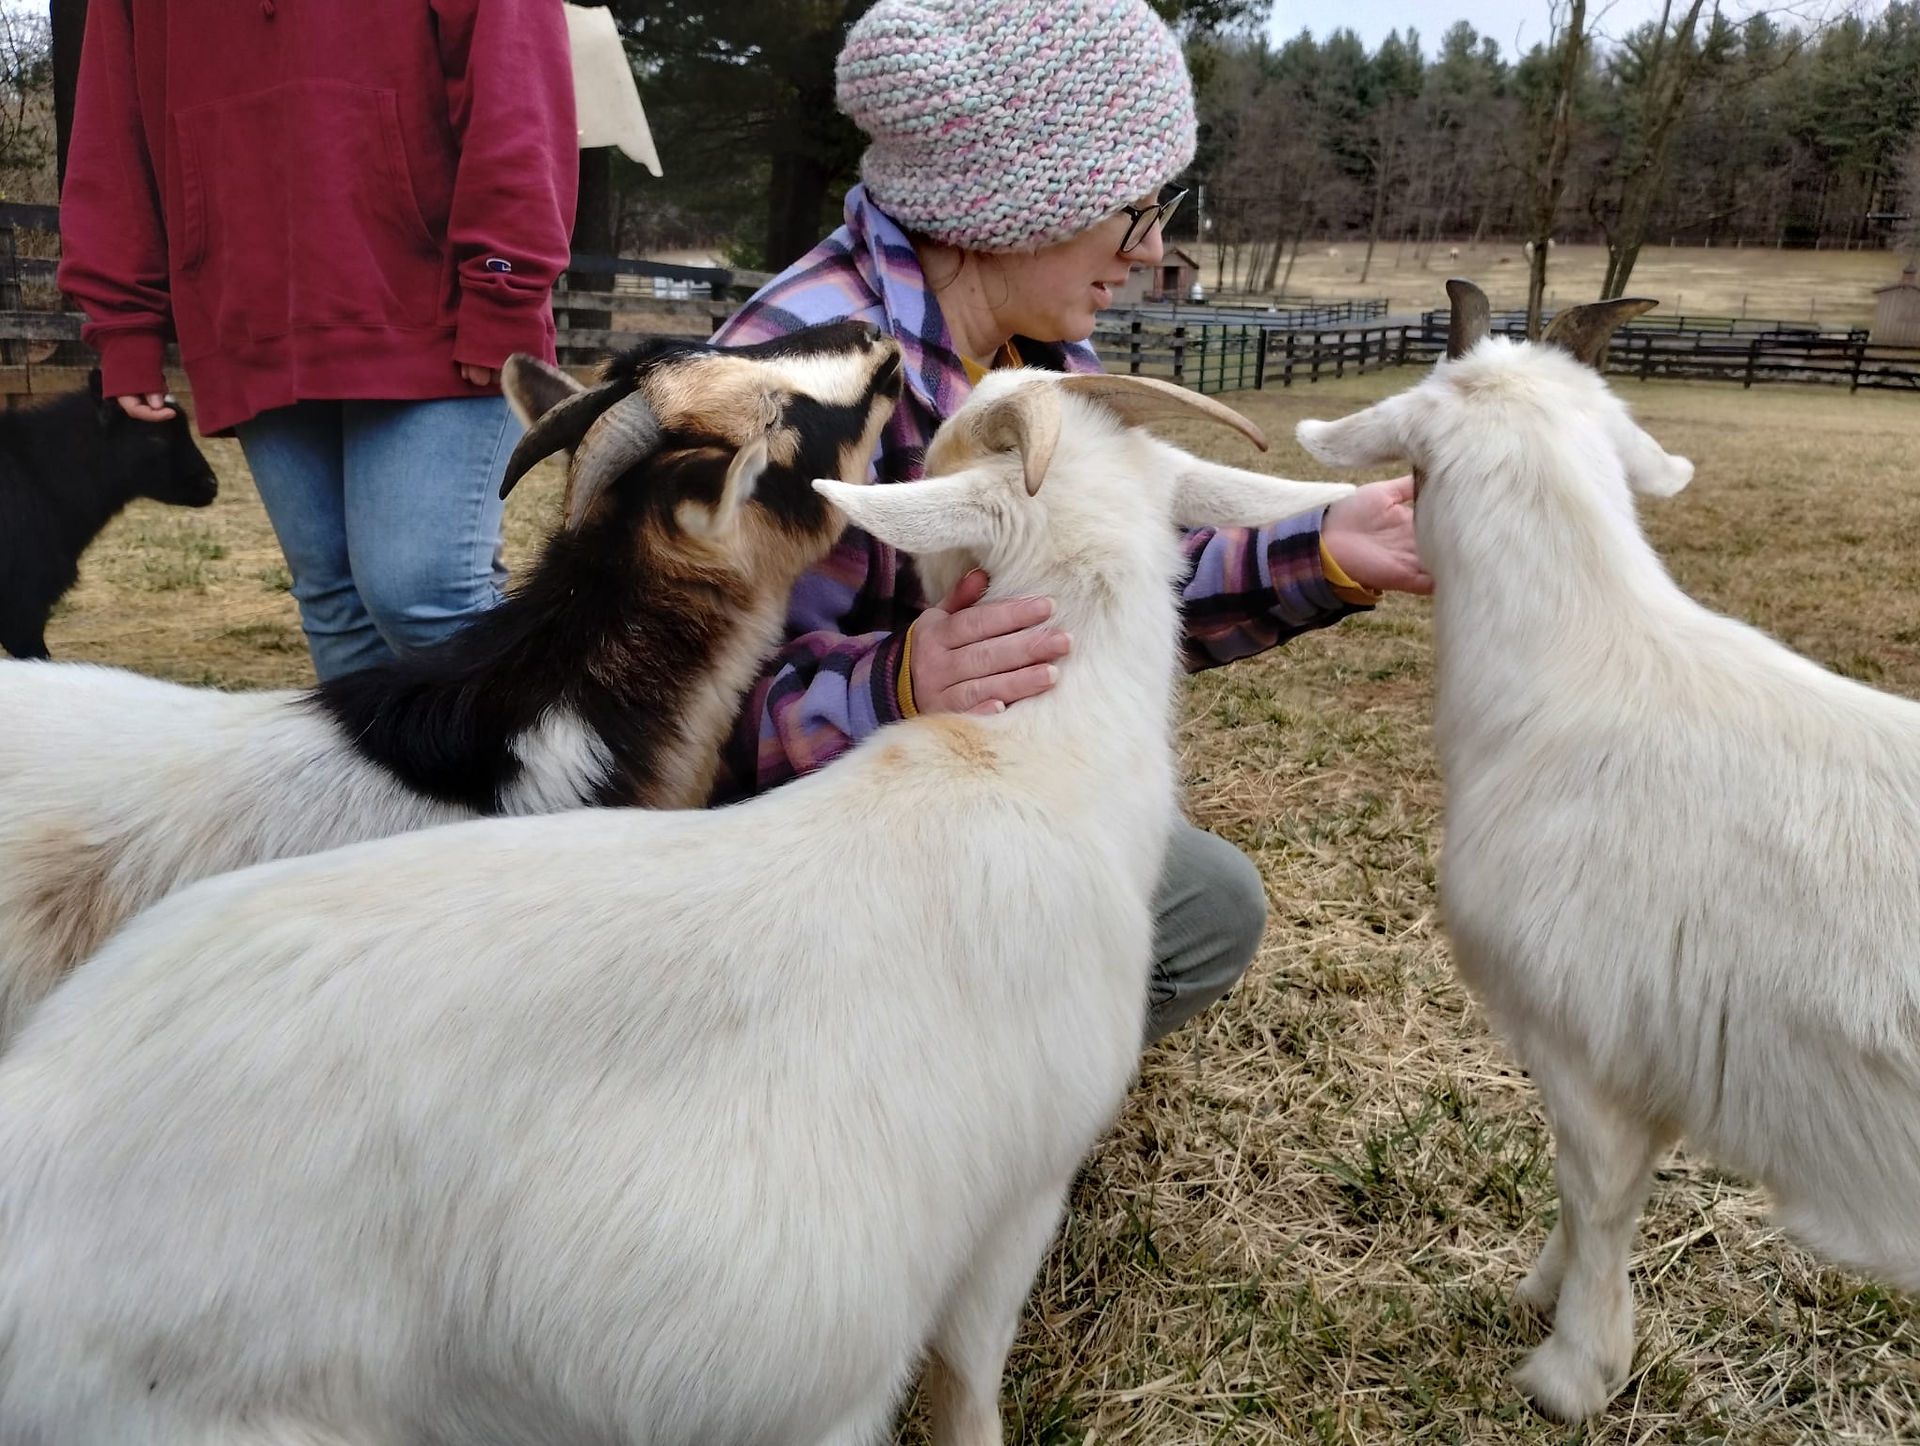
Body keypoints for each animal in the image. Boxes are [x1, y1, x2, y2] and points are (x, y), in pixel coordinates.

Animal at [1297, 279, 1920, 1422]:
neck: (1576, 669)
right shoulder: (1658, 1052)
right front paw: (1541, 1294)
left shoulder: (1586, 1040)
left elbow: (1598, 1196)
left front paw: (1570, 1370)